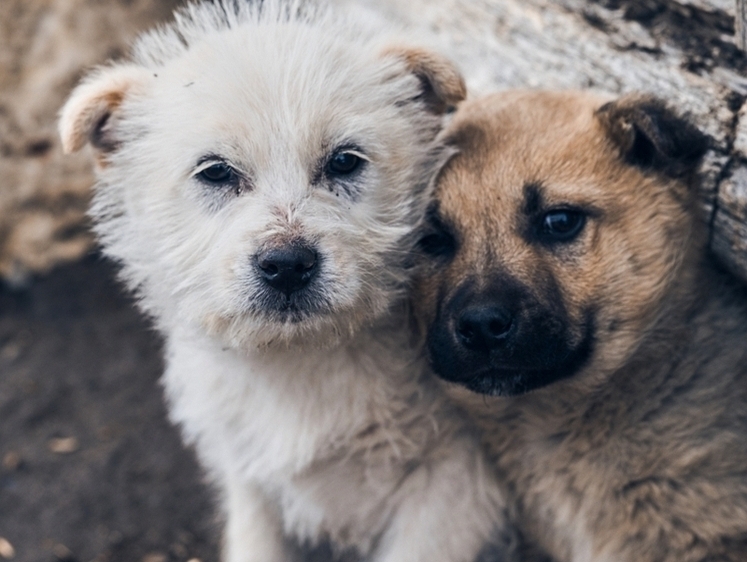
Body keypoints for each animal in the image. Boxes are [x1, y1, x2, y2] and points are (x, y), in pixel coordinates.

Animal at [60, 1, 516, 560]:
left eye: (344, 161)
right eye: (215, 172)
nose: (288, 265)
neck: (298, 363)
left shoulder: (455, 487)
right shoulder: (249, 479)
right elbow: (254, 542)